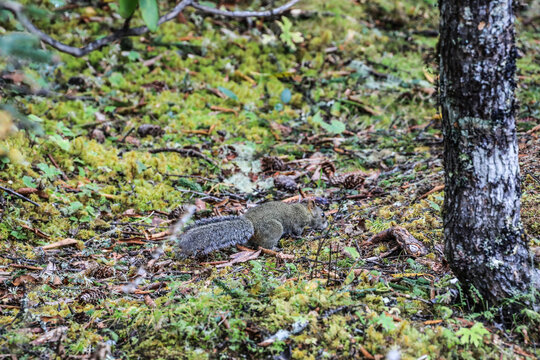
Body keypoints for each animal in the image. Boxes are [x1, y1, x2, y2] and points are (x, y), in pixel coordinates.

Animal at [179, 200, 326, 256]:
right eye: (323, 214)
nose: (326, 225)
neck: (306, 211)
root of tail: (251, 224)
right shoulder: (297, 222)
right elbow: (297, 231)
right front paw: (305, 234)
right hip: (275, 228)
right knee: (263, 245)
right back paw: (275, 249)